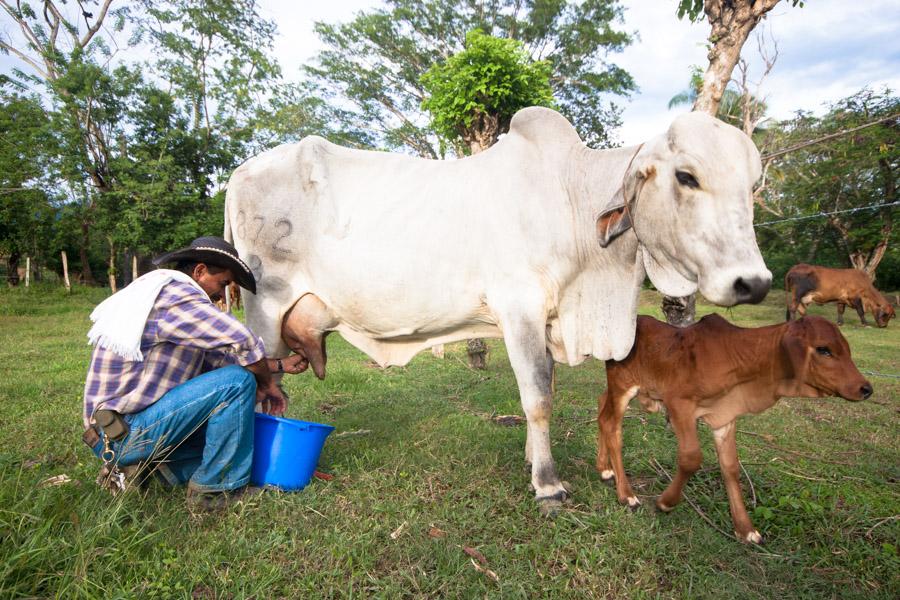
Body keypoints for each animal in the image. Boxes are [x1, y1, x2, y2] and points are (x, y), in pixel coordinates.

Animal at [223, 106, 768, 510]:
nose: (754, 282)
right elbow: (538, 398)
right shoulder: (520, 307)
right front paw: (548, 485)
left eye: (753, 185)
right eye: (686, 176)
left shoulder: (547, 319)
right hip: (263, 311)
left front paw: (532, 461)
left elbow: (546, 389)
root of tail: (239, 172)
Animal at [596, 314, 872, 544]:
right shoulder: (679, 404)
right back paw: (626, 494)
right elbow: (691, 458)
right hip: (623, 386)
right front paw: (666, 502)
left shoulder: (725, 419)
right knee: (612, 425)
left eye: (847, 349)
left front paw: (745, 529)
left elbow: (730, 467)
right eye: (824, 349)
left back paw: (605, 468)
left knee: (601, 407)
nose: (866, 388)